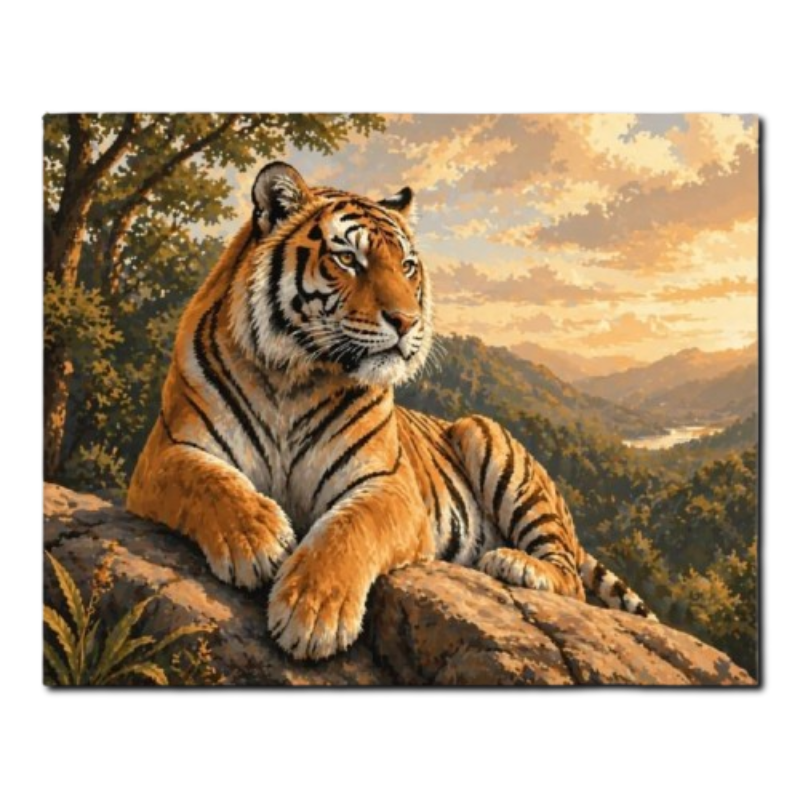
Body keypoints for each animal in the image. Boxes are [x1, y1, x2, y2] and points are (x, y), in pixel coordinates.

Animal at [127, 161, 657, 662]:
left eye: (406, 266)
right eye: (347, 258)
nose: (407, 321)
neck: (293, 377)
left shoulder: (389, 485)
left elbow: (349, 529)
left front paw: (312, 614)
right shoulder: (166, 452)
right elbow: (209, 481)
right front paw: (257, 537)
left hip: (487, 438)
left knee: (571, 578)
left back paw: (516, 564)